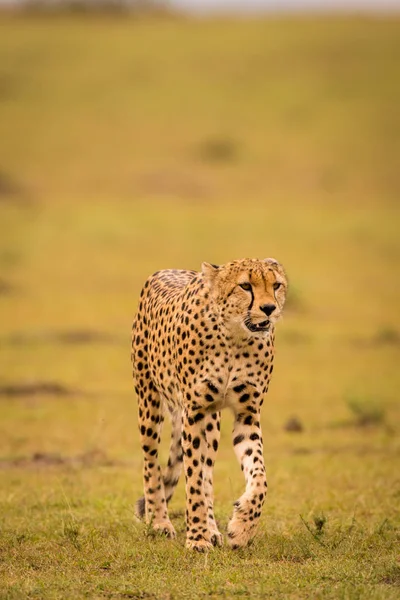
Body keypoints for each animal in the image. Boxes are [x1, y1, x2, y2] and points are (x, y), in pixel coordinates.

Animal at [132, 255, 288, 552]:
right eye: (245, 286)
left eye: (276, 285)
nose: (269, 308)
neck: (235, 337)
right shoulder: (193, 413)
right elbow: (192, 479)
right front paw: (196, 537)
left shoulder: (246, 414)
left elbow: (258, 477)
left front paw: (241, 528)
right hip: (149, 403)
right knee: (150, 466)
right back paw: (159, 522)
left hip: (211, 423)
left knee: (207, 472)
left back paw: (213, 527)